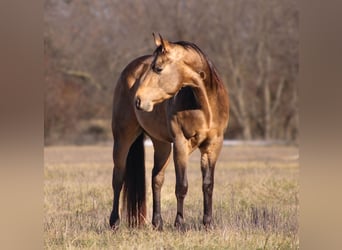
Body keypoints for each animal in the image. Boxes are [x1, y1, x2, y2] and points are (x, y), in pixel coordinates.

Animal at [109, 33, 230, 230]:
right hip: (123, 138)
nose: (138, 100)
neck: (205, 106)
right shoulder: (181, 143)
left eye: (158, 68)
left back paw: (157, 223)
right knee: (118, 178)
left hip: (162, 145)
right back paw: (114, 222)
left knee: (156, 178)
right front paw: (179, 223)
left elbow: (208, 185)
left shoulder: (213, 146)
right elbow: (181, 186)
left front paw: (208, 223)